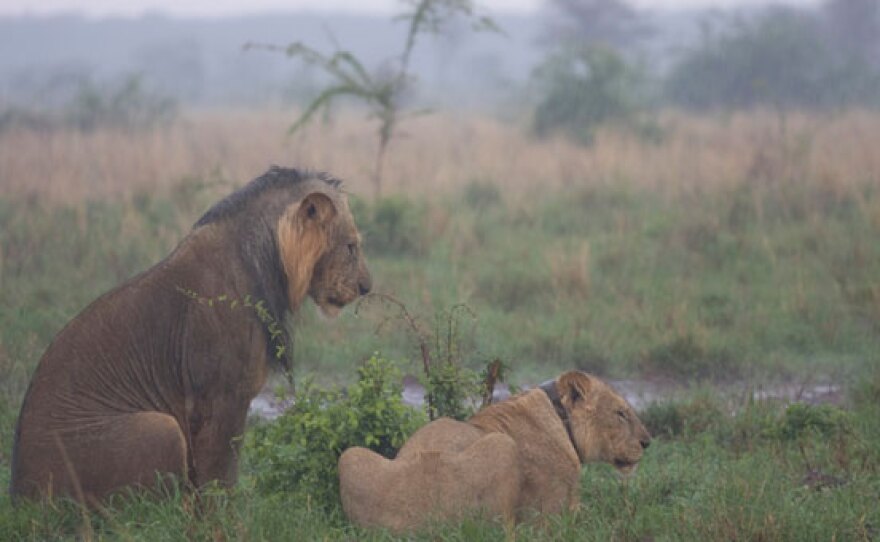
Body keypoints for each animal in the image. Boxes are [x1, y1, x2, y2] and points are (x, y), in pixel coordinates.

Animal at [12, 167, 372, 506]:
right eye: (351, 247)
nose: (367, 287)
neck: (267, 263)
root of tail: (20, 496)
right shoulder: (222, 396)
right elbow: (221, 476)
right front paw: (224, 524)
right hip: (160, 428)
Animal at [340, 372, 648, 532]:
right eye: (621, 413)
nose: (648, 442)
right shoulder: (552, 517)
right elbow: (602, 518)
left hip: (349, 455)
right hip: (502, 447)